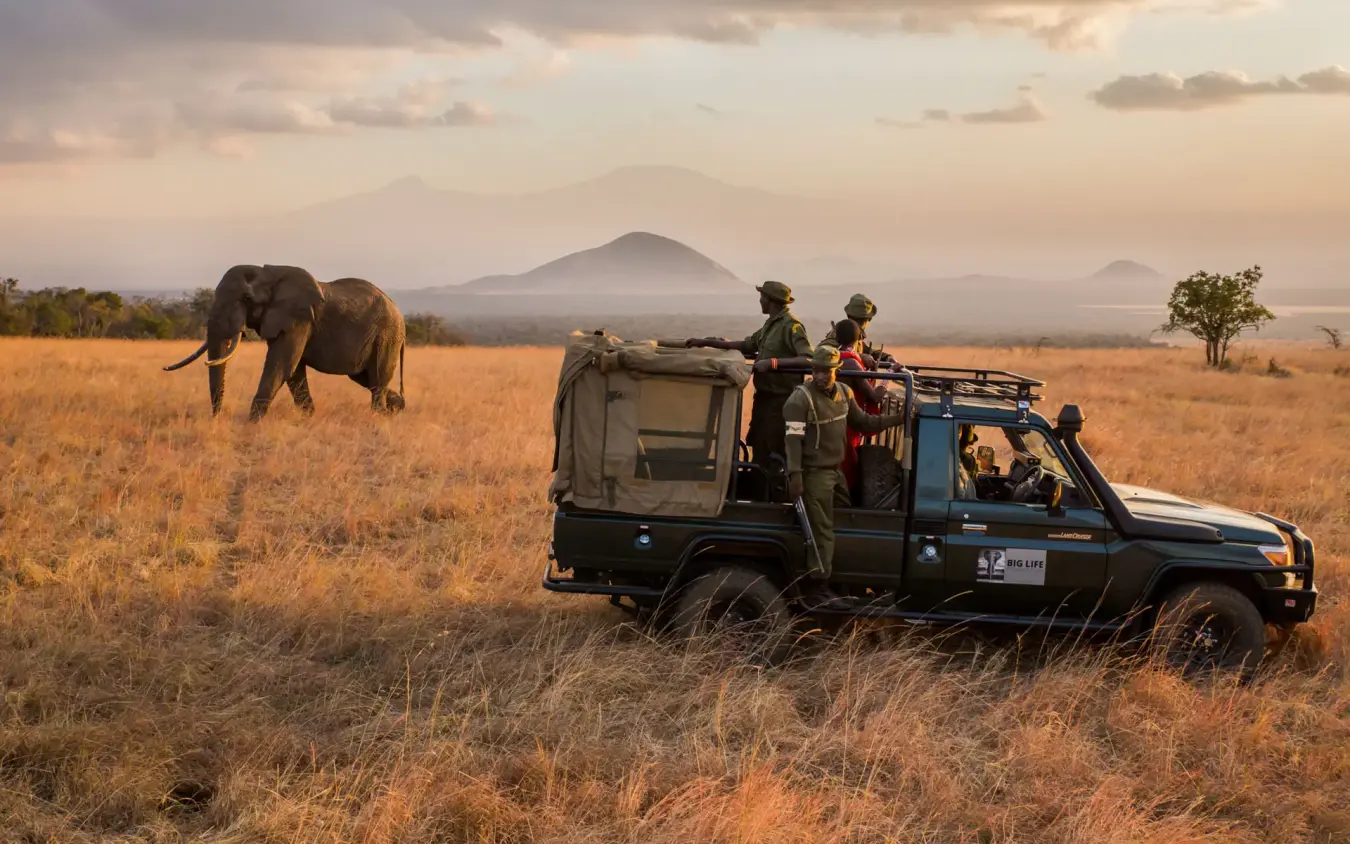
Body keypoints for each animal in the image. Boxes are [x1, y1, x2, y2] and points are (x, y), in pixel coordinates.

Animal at [163, 264, 407, 421]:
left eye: (246, 299)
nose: (216, 418)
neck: (269, 274)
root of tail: (399, 313)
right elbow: (293, 371)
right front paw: (309, 418)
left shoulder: (299, 319)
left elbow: (281, 365)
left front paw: (252, 424)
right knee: (366, 378)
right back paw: (396, 409)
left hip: (386, 336)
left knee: (377, 378)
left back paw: (378, 416)